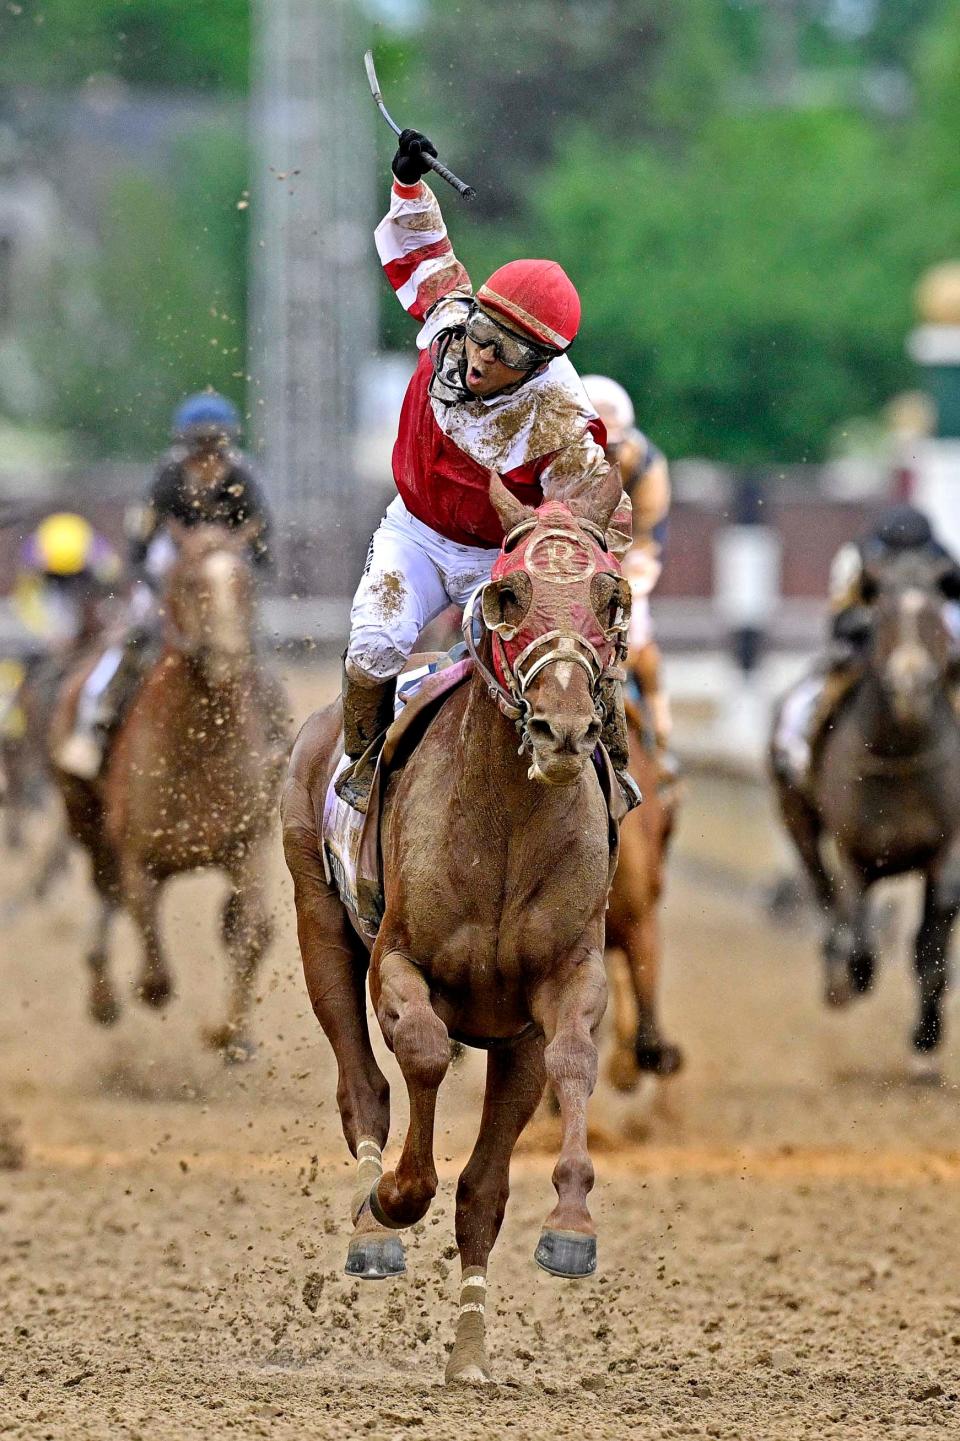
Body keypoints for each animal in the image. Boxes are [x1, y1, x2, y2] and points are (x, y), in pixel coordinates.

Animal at [49, 530, 288, 1060]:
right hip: (84, 818)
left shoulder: (248, 844)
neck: (199, 745)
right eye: (190, 581)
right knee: (106, 889)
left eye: (244, 581)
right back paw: (103, 998)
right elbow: (154, 968)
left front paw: (230, 1035)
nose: (226, 657)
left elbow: (251, 934)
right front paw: (144, 990)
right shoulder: (140, 856)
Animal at [281, 472, 631, 1383]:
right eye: (507, 596)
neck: (505, 825)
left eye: (612, 597)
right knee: (361, 1086)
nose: (564, 729)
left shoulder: (558, 986)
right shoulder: (397, 960)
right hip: (316, 925)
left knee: (483, 1188)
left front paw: (571, 1225)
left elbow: (570, 1062)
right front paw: (396, 1196)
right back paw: (371, 1228)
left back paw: (469, 1345)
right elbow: (424, 1049)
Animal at [766, 556, 957, 1077]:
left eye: (935, 619)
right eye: (883, 619)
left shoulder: (945, 851)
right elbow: (859, 946)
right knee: (823, 891)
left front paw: (925, 1043)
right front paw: (849, 979)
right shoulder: (856, 851)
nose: (911, 684)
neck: (903, 753)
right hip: (797, 818)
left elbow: (931, 951)